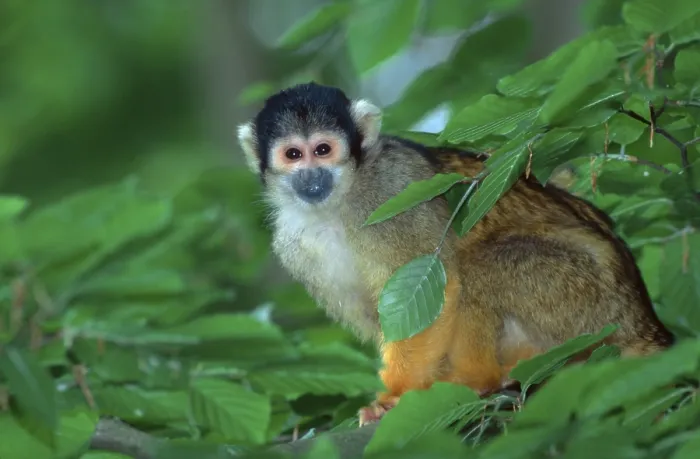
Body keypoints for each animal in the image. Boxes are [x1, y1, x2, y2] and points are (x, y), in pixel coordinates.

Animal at [236, 82, 674, 426]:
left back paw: (478, 379)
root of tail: (642, 320)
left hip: (589, 300)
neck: (339, 201)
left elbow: (434, 288)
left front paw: (395, 394)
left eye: (323, 149)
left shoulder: (392, 192)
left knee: (481, 264)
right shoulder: (293, 244)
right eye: (294, 155)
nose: (312, 176)